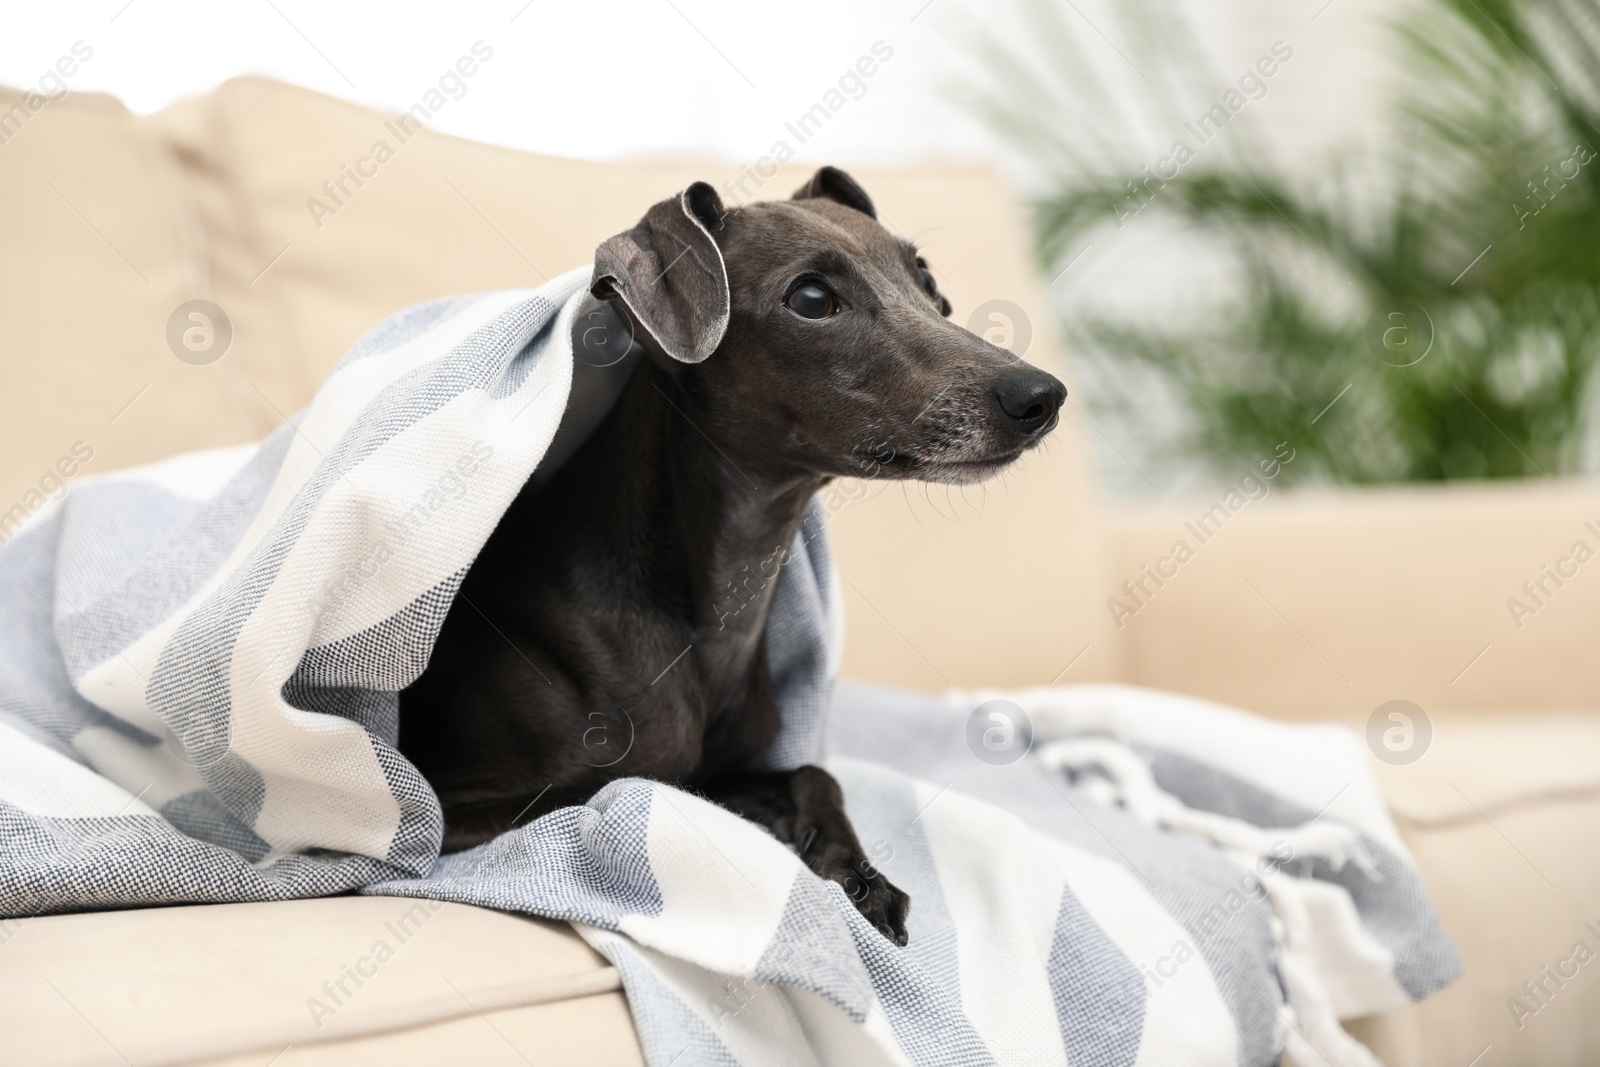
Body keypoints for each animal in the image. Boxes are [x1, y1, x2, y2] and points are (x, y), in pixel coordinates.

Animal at [400, 167, 1068, 940]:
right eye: (811, 298)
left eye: (925, 277)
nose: (1042, 396)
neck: (714, 604)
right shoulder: (443, 812)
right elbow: (634, 784)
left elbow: (814, 772)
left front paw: (857, 872)